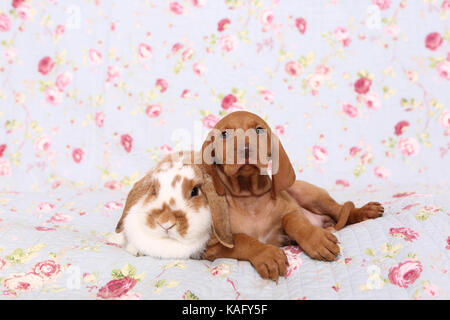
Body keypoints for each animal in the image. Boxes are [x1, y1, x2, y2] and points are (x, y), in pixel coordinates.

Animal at [200, 111, 384, 282]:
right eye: (224, 134)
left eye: (259, 130)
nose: (245, 149)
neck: (248, 197)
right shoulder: (210, 247)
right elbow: (242, 240)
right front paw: (267, 254)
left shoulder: (292, 211)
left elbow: (292, 220)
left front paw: (316, 240)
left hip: (304, 191)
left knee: (340, 211)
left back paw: (364, 212)